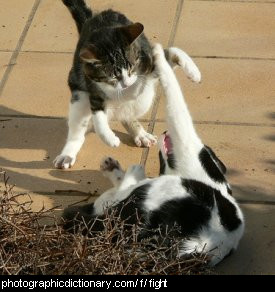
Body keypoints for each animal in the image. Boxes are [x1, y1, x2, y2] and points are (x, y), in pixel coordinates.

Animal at [54, 0, 201, 169]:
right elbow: (98, 115)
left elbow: (170, 52)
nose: (126, 84)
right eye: (112, 76)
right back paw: (67, 155)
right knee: (78, 129)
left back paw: (141, 134)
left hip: (142, 101)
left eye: (131, 67)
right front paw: (110, 138)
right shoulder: (91, 85)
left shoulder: (148, 60)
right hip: (78, 95)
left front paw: (194, 72)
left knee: (128, 112)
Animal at [63, 44, 245, 266]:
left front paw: (159, 55)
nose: (165, 132)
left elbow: (174, 95)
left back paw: (125, 171)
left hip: (155, 192)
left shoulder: (186, 140)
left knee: (115, 197)